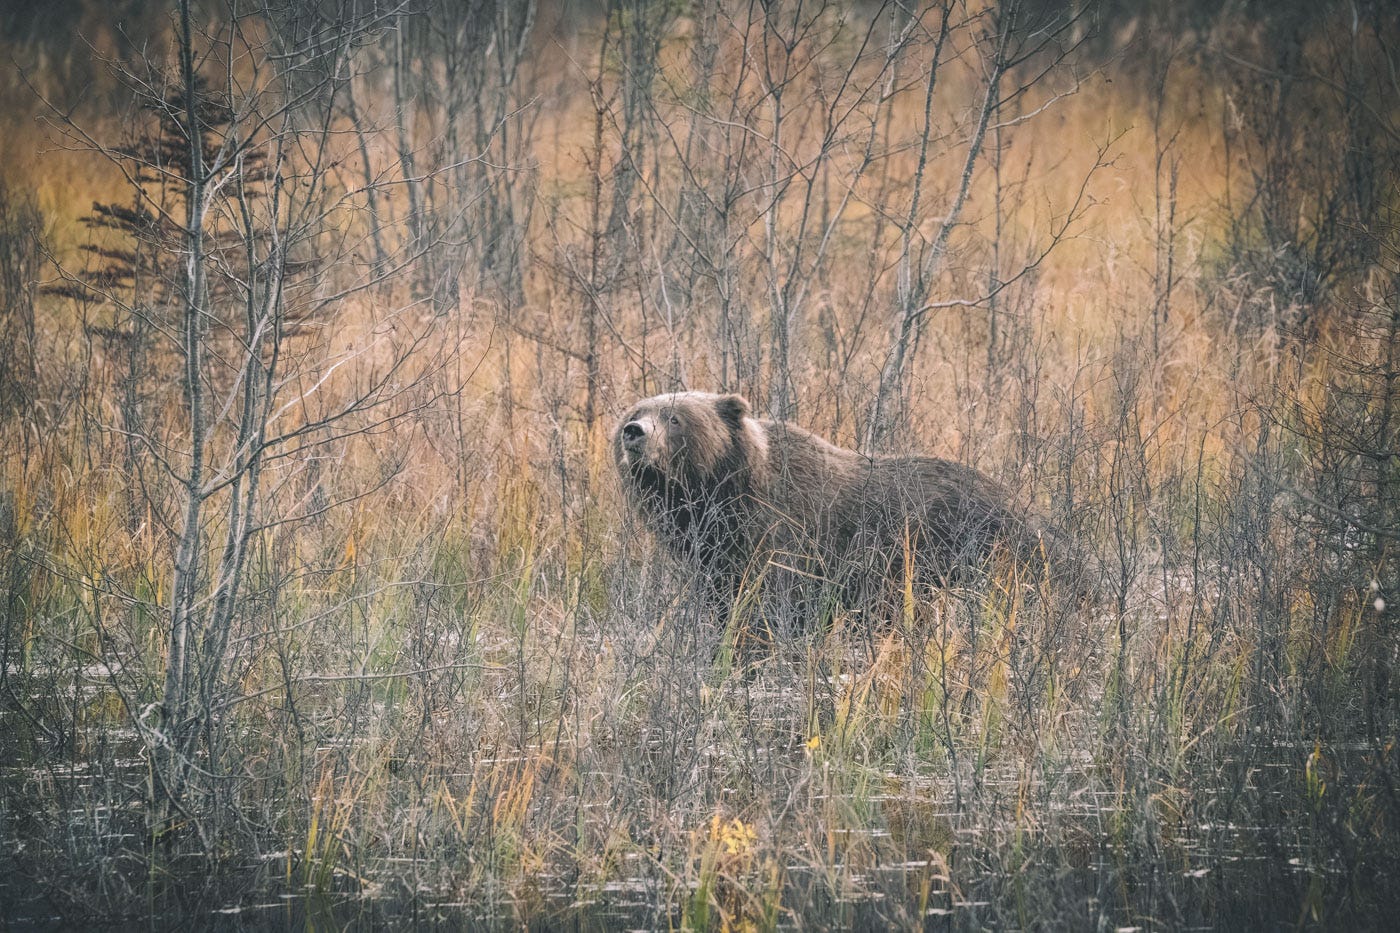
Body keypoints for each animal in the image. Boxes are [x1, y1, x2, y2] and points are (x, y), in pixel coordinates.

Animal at [613, 391, 1066, 628]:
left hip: (985, 550)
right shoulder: (714, 553)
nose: (633, 433)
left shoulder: (785, 537)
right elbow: (722, 598)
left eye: (674, 417)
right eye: (637, 411)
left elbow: (771, 606)